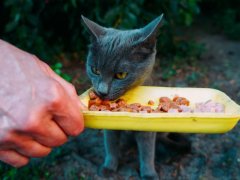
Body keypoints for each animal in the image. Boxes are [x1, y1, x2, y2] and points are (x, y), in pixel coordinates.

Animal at [81, 14, 188, 179]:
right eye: (95, 70)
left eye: (121, 74)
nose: (102, 91)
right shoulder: (109, 126)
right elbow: (111, 144)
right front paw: (109, 167)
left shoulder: (147, 130)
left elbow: (147, 150)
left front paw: (149, 174)